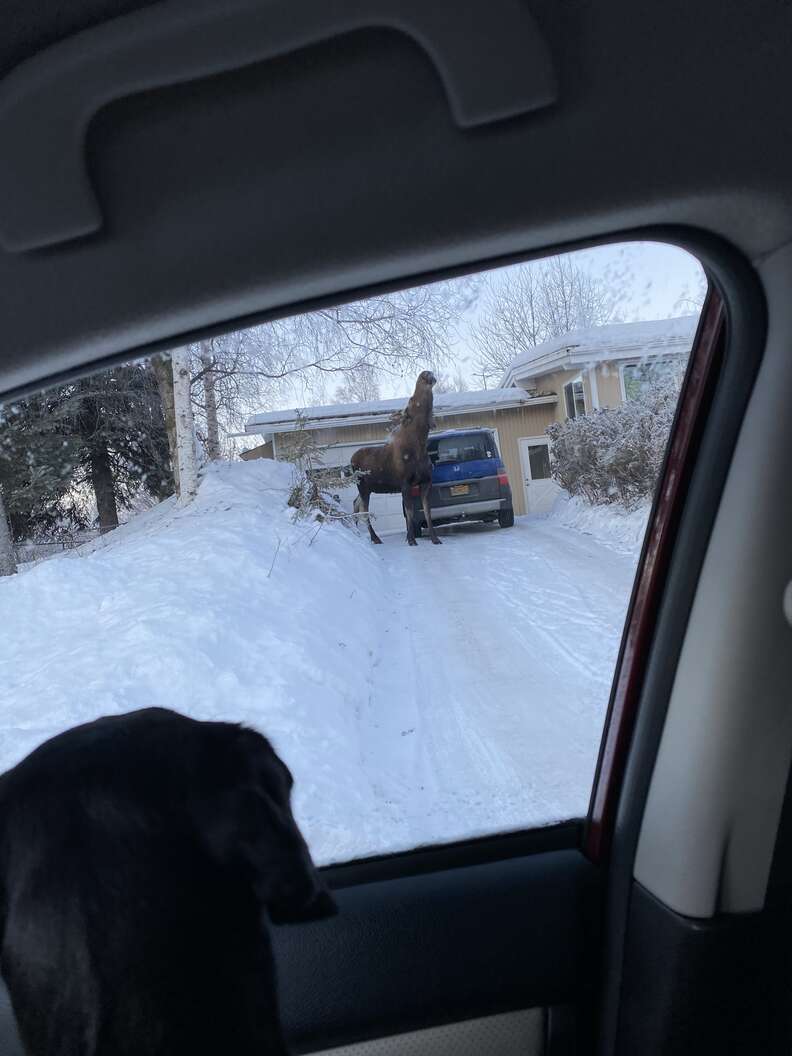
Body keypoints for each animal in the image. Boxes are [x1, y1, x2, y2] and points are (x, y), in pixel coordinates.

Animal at [352, 371, 443, 549]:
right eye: (411, 401)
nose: (425, 373)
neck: (420, 445)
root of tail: (351, 461)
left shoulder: (425, 481)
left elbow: (427, 511)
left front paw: (435, 538)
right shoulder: (405, 483)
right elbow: (409, 512)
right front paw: (411, 539)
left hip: (366, 488)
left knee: (355, 503)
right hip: (363, 486)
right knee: (364, 510)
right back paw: (375, 538)